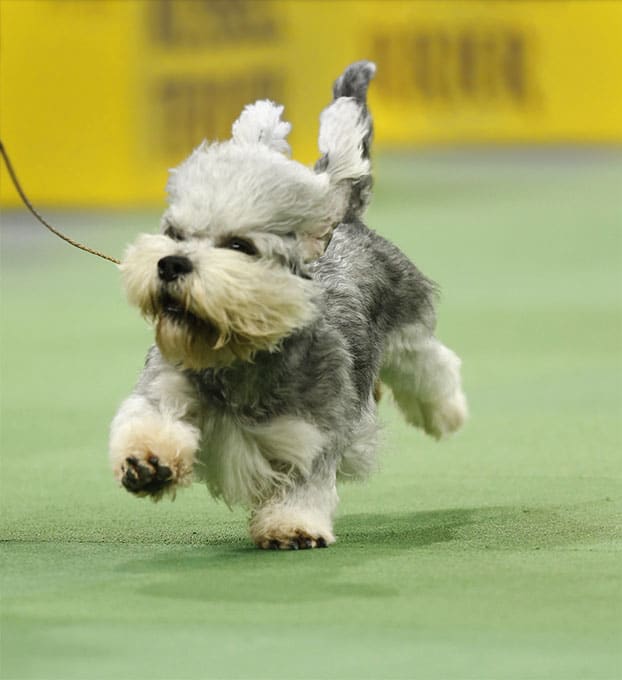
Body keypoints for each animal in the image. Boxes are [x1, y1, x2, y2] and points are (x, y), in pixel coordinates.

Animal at [109, 61, 466, 548]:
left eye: (239, 245)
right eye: (174, 232)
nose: (170, 264)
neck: (238, 353)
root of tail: (344, 220)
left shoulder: (311, 432)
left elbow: (305, 482)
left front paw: (292, 523)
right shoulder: (166, 388)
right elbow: (149, 420)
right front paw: (147, 462)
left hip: (407, 326)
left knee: (431, 365)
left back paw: (446, 413)